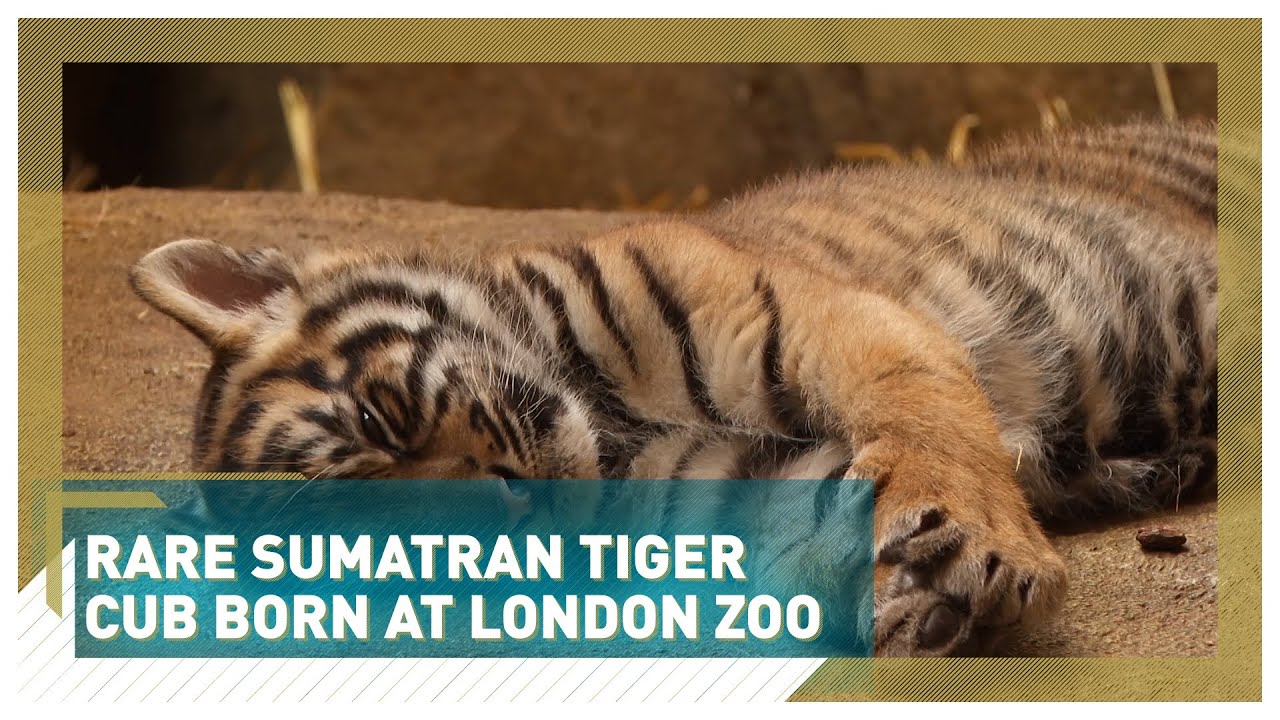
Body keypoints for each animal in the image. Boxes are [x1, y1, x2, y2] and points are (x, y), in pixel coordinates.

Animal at [129, 120, 1218, 657]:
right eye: (398, 565)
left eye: (382, 420)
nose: (511, 505)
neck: (612, 433)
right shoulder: (751, 487)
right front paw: (936, 591)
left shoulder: (825, 320)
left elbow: (928, 426)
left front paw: (984, 556)